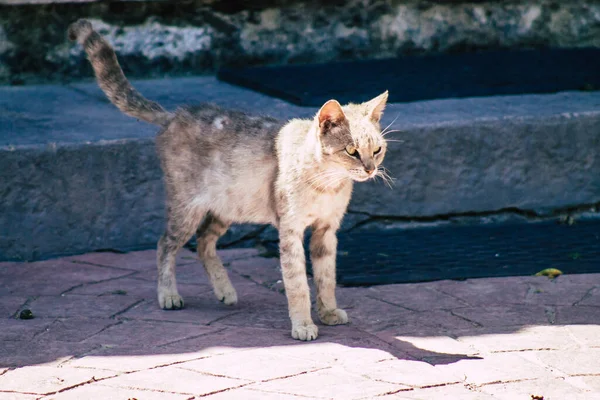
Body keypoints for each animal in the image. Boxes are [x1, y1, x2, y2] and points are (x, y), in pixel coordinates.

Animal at [69, 18, 390, 340]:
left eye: (377, 149)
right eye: (351, 150)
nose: (370, 169)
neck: (327, 184)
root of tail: (174, 115)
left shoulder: (326, 231)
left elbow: (326, 277)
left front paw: (328, 312)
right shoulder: (290, 231)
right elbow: (297, 282)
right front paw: (302, 324)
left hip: (227, 208)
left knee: (203, 243)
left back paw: (225, 290)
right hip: (187, 208)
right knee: (165, 245)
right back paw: (169, 295)